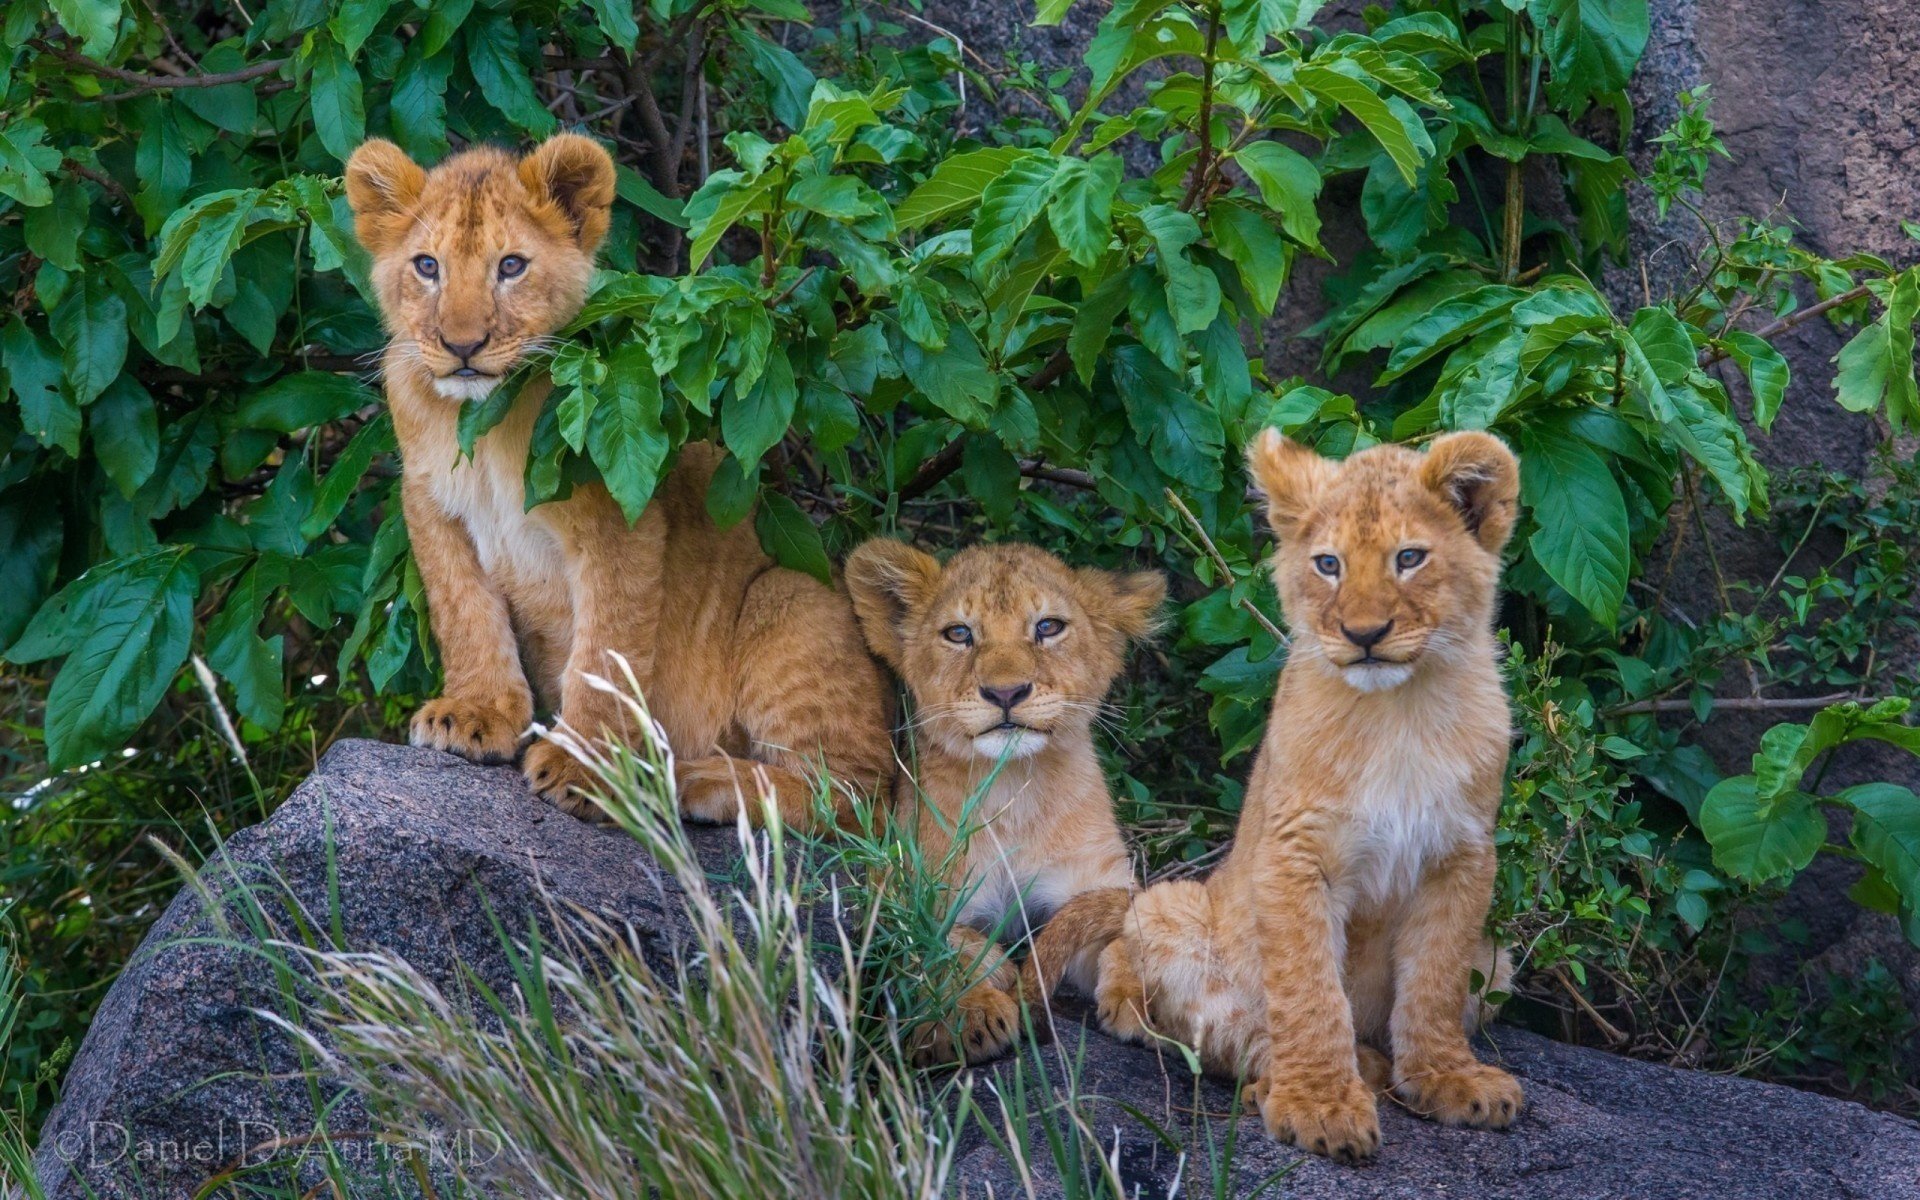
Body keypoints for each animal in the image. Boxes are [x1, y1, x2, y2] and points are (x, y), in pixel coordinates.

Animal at [343, 134, 892, 826]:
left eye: (512, 266)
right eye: (426, 267)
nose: (462, 345)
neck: (482, 423)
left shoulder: (620, 520)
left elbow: (605, 652)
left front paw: (585, 767)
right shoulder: (431, 504)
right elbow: (465, 613)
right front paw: (476, 714)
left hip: (789, 598)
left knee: (860, 797)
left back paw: (696, 780)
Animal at [843, 538, 1164, 1065]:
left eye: (1048, 627)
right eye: (958, 633)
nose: (1006, 692)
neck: (1014, 790)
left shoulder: (1092, 880)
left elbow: (1129, 927)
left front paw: (1152, 1001)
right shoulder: (903, 889)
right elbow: (942, 940)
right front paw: (973, 1011)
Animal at [1020, 430, 1522, 1161]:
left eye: (1409, 558)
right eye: (1328, 564)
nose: (1363, 634)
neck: (1400, 711)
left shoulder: (1463, 856)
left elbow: (1435, 978)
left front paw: (1449, 1079)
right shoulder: (1294, 854)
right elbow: (1309, 990)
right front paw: (1319, 1104)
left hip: (1499, 962)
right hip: (1172, 911)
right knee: (1199, 1024)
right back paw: (1314, 1074)